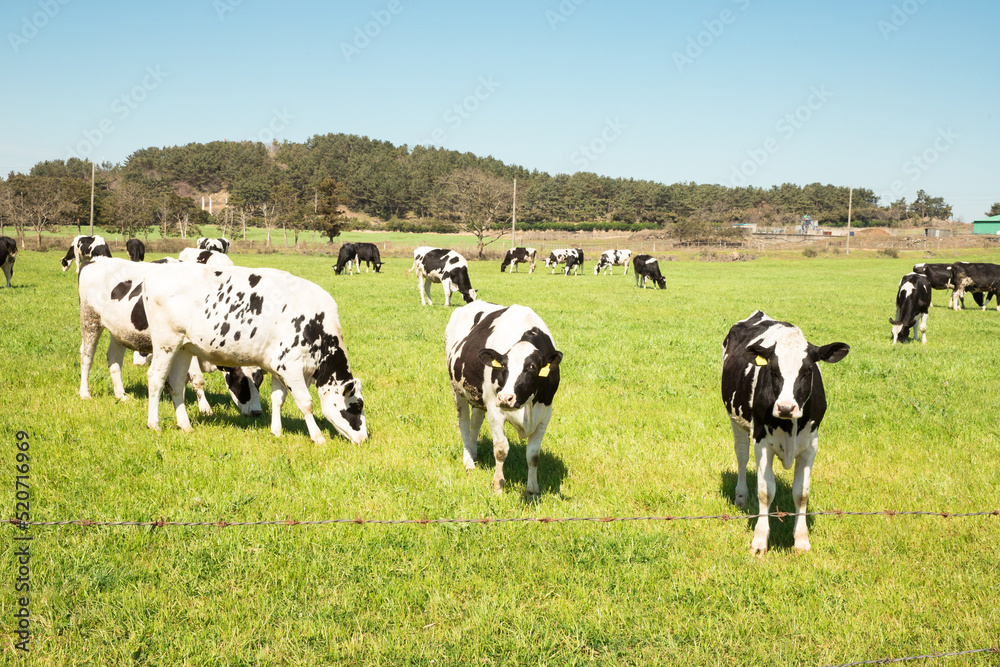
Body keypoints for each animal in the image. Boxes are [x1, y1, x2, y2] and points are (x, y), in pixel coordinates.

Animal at [77, 258, 262, 414]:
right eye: (241, 381)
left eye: (259, 380)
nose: (257, 412)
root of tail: (95, 260)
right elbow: (198, 379)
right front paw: (205, 409)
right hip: (90, 319)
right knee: (87, 356)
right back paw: (85, 393)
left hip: (119, 330)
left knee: (114, 359)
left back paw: (121, 395)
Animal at [145, 264, 368, 446]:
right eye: (357, 406)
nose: (364, 438)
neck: (316, 329)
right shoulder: (291, 367)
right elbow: (306, 403)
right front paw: (318, 436)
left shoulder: (278, 367)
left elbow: (278, 399)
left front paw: (276, 431)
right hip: (166, 343)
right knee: (156, 378)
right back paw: (154, 424)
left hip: (184, 348)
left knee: (176, 384)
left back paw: (185, 425)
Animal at [446, 302, 564, 496]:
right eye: (503, 366)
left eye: (532, 367)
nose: (505, 398)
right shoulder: (495, 408)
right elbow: (501, 449)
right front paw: (498, 486)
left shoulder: (545, 413)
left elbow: (533, 455)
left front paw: (532, 490)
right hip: (458, 390)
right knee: (463, 423)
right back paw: (468, 461)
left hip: (479, 398)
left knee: (475, 423)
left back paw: (474, 452)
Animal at [720, 310, 852, 556]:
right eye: (773, 370)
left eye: (807, 370)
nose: (785, 407)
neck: (790, 425)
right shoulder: (761, 441)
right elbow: (765, 491)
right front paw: (759, 540)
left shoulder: (811, 445)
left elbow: (801, 493)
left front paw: (801, 540)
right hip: (736, 420)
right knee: (742, 457)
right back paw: (741, 496)